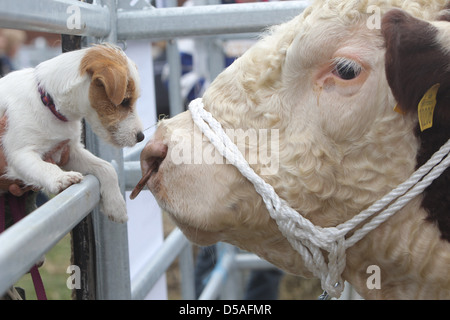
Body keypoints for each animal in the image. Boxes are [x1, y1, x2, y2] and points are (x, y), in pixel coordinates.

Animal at [0, 43, 143, 222]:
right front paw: (61, 178)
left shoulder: (70, 151)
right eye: (124, 101)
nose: (141, 137)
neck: (48, 103)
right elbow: (44, 166)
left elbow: (106, 167)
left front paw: (116, 206)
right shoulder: (19, 154)